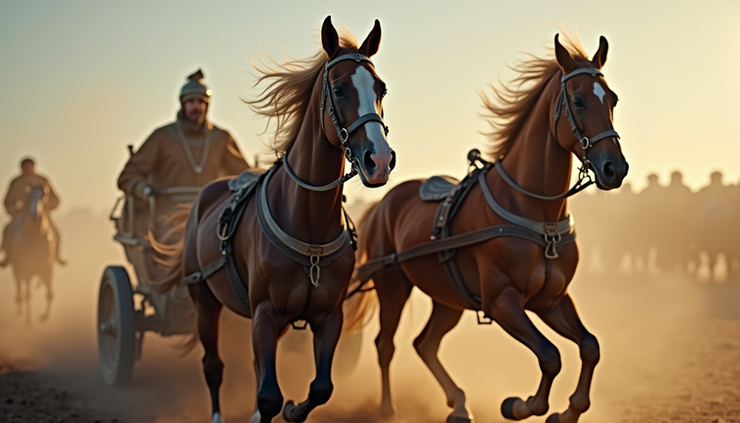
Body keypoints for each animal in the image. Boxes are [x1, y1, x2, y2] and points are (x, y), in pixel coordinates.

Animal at [6, 185, 56, 324]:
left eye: (44, 196)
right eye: (28, 196)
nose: (35, 215)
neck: (34, 237)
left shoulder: (47, 269)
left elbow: (50, 294)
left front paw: (44, 316)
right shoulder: (26, 271)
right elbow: (28, 295)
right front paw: (29, 321)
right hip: (18, 269)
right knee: (19, 287)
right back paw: (19, 307)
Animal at [154, 16, 395, 423]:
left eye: (381, 88)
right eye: (339, 89)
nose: (378, 159)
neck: (309, 224)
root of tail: (204, 194)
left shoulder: (329, 316)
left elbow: (321, 388)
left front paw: (294, 408)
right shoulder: (264, 313)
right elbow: (267, 396)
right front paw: (274, 407)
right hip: (204, 301)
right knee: (213, 366)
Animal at [350, 34, 628, 423]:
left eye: (612, 98)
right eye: (578, 100)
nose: (615, 168)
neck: (536, 215)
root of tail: (384, 203)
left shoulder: (552, 300)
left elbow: (590, 346)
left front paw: (569, 410)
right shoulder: (502, 302)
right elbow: (550, 356)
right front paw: (521, 404)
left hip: (447, 296)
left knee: (425, 344)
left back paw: (458, 404)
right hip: (392, 285)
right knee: (386, 344)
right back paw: (389, 408)